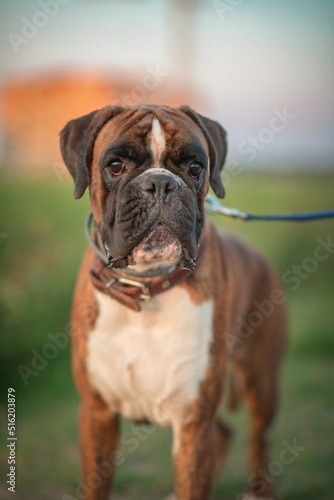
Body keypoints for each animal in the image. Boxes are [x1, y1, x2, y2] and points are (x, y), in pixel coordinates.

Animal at [60, 103, 288, 498]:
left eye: (195, 168)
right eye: (115, 166)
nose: (161, 184)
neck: (147, 287)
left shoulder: (193, 423)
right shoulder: (97, 415)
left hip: (261, 384)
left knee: (258, 438)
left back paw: (258, 491)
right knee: (226, 431)